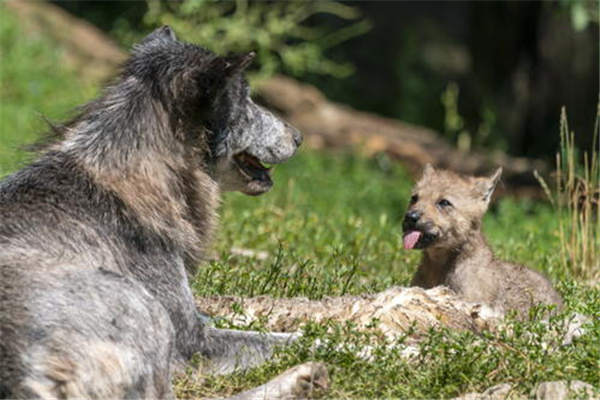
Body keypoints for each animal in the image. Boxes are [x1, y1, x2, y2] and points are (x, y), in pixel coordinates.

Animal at [1, 26, 328, 398]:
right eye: (246, 99)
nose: (299, 137)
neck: (133, 174)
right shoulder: (194, 342)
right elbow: (304, 340)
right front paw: (360, 343)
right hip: (147, 312)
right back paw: (306, 377)